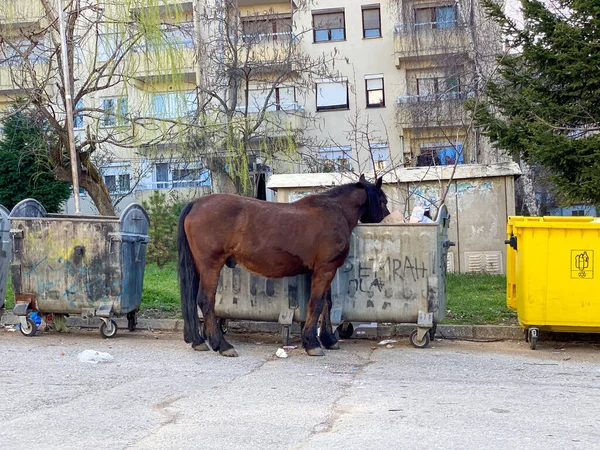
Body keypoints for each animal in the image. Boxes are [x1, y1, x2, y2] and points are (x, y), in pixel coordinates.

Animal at [177, 174, 390, 356]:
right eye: (384, 201)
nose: (386, 218)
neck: (334, 210)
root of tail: (196, 204)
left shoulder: (321, 271)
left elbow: (326, 303)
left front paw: (328, 339)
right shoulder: (325, 269)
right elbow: (317, 303)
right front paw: (312, 343)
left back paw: (199, 340)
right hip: (210, 265)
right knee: (206, 300)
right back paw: (222, 345)